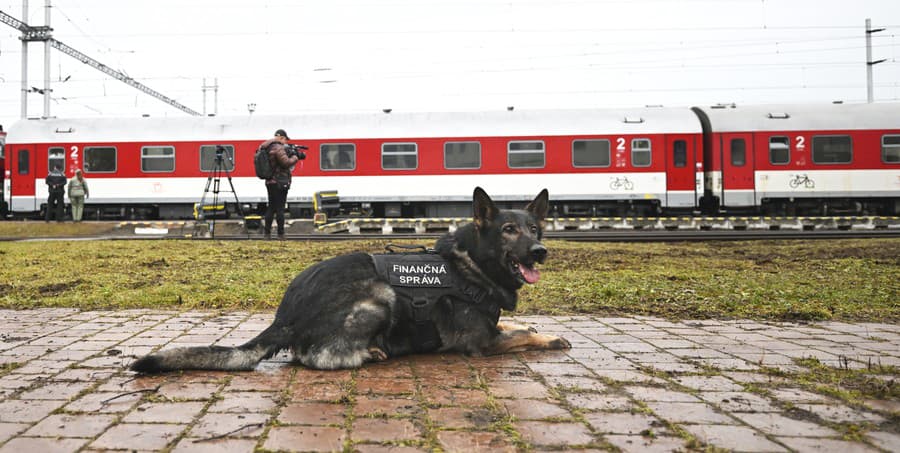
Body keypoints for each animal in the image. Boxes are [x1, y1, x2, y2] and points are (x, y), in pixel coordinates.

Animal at [132, 189, 568, 372]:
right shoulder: (480, 344)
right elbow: (519, 335)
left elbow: (515, 326)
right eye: (509, 230)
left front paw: (534, 326)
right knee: (316, 357)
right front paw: (548, 338)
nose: (539, 251)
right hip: (379, 296)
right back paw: (368, 353)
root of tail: (285, 316)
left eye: (535, 228)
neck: (473, 266)